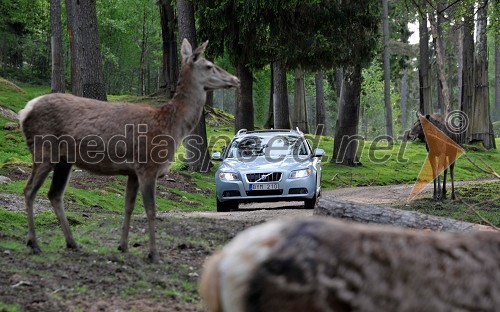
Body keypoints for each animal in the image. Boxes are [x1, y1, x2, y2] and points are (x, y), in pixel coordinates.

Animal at [18, 39, 240, 264]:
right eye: (209, 65)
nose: (236, 79)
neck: (171, 126)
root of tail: (24, 111)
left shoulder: (132, 172)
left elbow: (129, 206)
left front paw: (123, 246)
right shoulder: (148, 166)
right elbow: (151, 209)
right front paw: (154, 254)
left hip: (64, 160)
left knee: (54, 194)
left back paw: (72, 243)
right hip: (44, 150)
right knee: (29, 190)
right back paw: (34, 243)